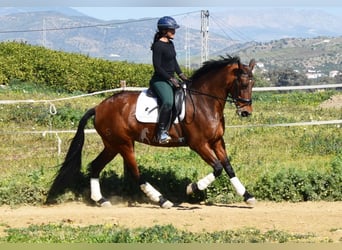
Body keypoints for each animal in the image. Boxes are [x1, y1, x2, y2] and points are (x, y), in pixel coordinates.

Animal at [47, 55, 256, 208]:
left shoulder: (217, 141)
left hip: (112, 145)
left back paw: (101, 200)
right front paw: (192, 188)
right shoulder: (198, 144)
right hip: (124, 143)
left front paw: (247, 196)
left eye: (253, 84)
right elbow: (218, 168)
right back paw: (162, 200)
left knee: (95, 166)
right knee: (135, 172)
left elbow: (228, 167)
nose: (246, 112)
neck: (204, 101)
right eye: (243, 84)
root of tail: (99, 107)